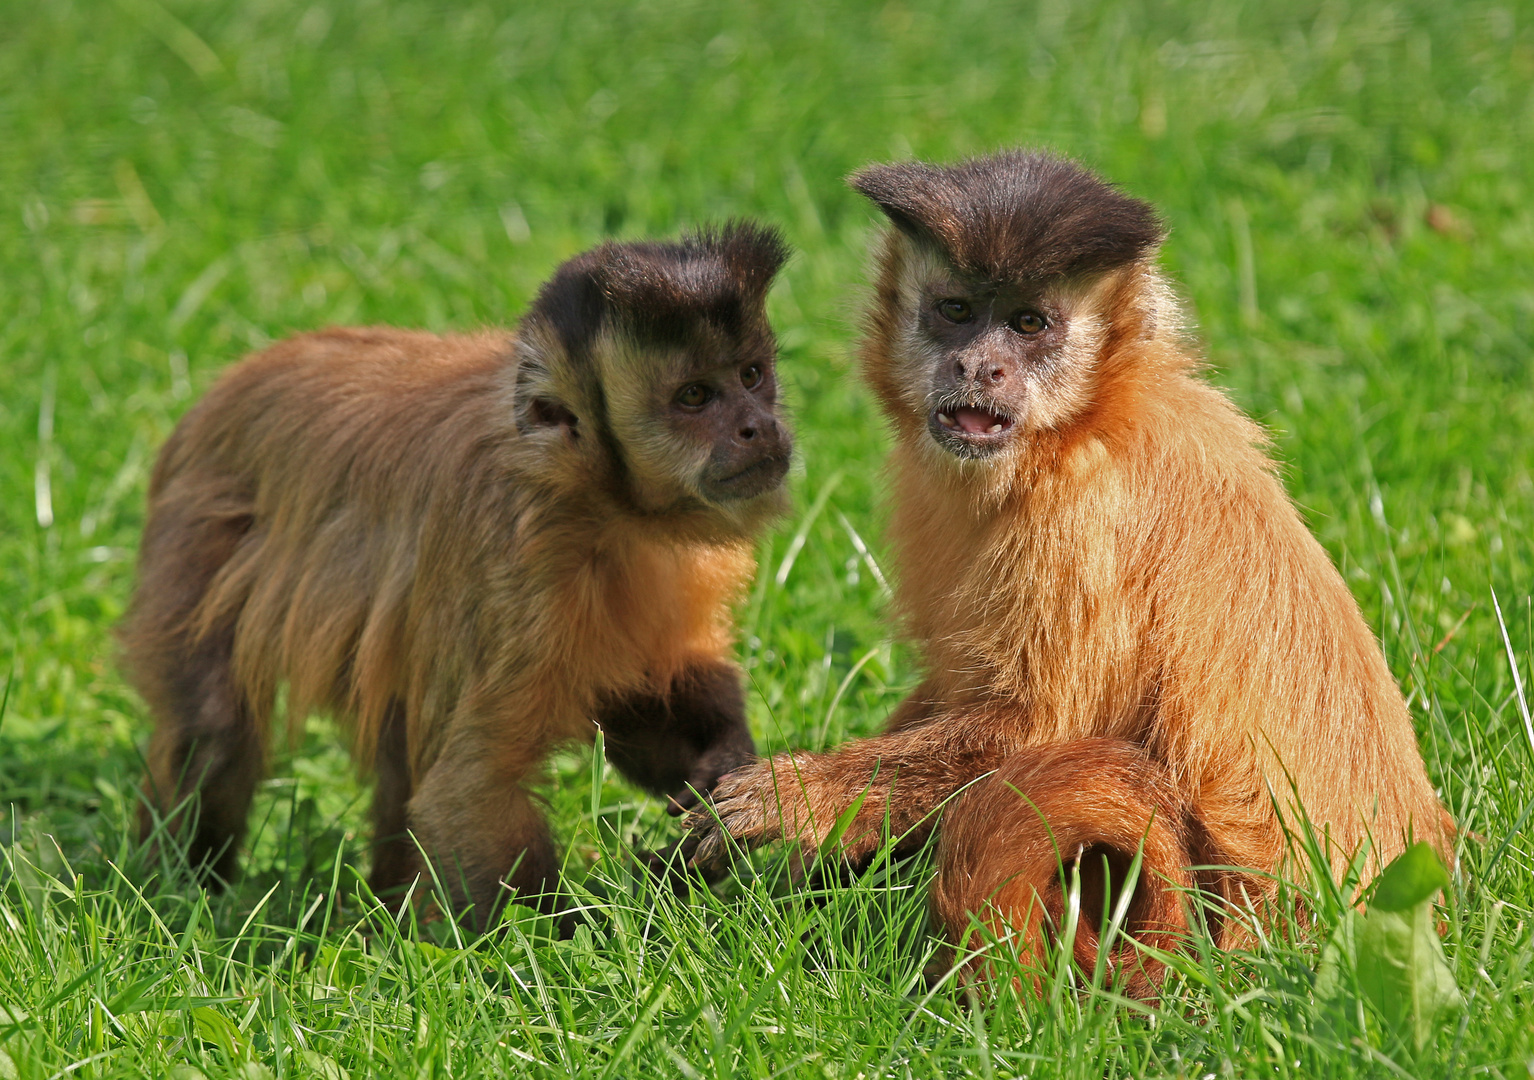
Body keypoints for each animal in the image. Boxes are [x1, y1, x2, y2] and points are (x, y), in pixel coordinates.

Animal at [122, 220, 791, 926]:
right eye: (695, 397)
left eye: (751, 375)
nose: (758, 425)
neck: (595, 499)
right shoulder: (523, 567)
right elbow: (468, 789)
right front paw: (588, 930)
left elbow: (651, 697)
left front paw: (729, 788)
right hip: (194, 534)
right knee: (214, 730)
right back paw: (185, 887)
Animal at [690, 151, 1454, 994]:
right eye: (956, 310)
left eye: (1029, 324)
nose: (979, 365)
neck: (1079, 427)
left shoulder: (1081, 517)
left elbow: (1034, 730)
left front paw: (795, 797)